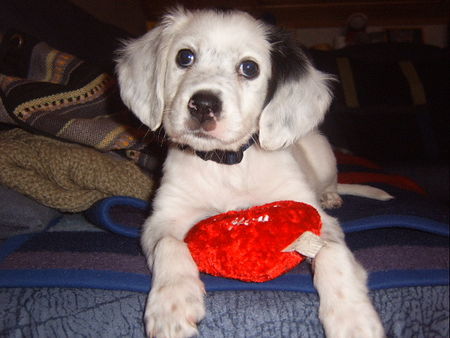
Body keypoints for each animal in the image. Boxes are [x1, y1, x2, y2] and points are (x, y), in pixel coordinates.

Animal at [116, 7, 386, 338]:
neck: (227, 164)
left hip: (322, 153)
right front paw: (172, 305)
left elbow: (331, 253)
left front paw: (353, 317)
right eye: (184, 57)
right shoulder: (162, 219)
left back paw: (331, 196)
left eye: (249, 68)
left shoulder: (314, 217)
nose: (203, 105)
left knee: (330, 183)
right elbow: (169, 244)